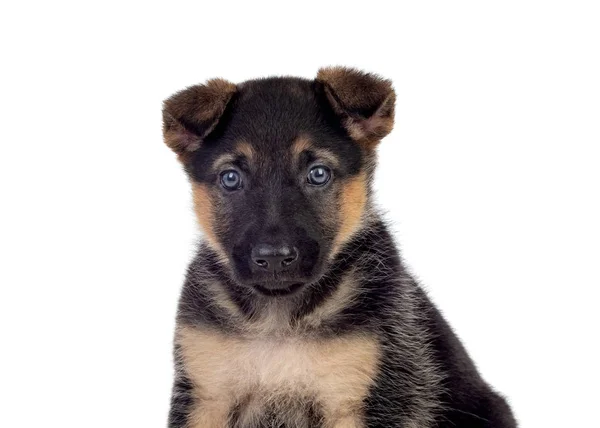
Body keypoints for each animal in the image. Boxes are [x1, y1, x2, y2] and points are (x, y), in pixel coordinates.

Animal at [163, 67, 516, 428]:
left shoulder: (359, 399)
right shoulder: (206, 397)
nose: (274, 259)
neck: (279, 318)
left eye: (318, 174)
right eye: (231, 178)